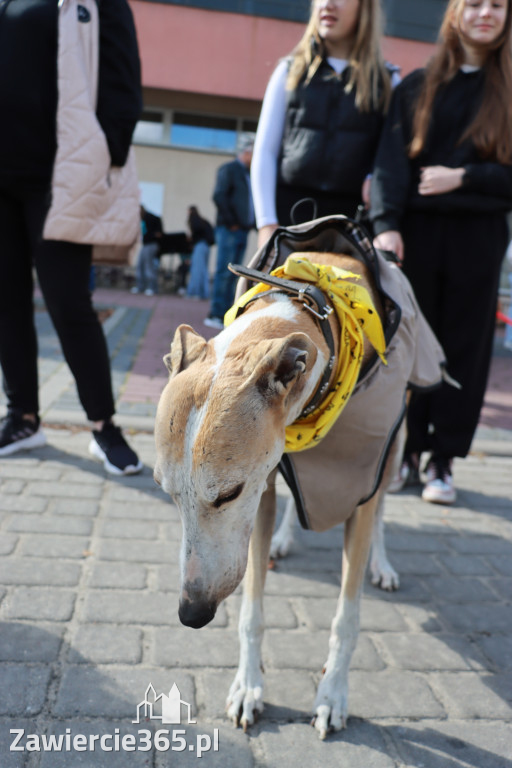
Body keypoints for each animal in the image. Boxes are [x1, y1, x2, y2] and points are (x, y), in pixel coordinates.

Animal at [153, 214, 444, 736]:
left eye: (228, 493)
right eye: (166, 493)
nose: (192, 613)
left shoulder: (355, 478)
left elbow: (346, 619)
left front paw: (332, 696)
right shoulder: (267, 481)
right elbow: (252, 610)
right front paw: (248, 688)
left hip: (395, 449)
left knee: (384, 506)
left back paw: (383, 565)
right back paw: (286, 539)